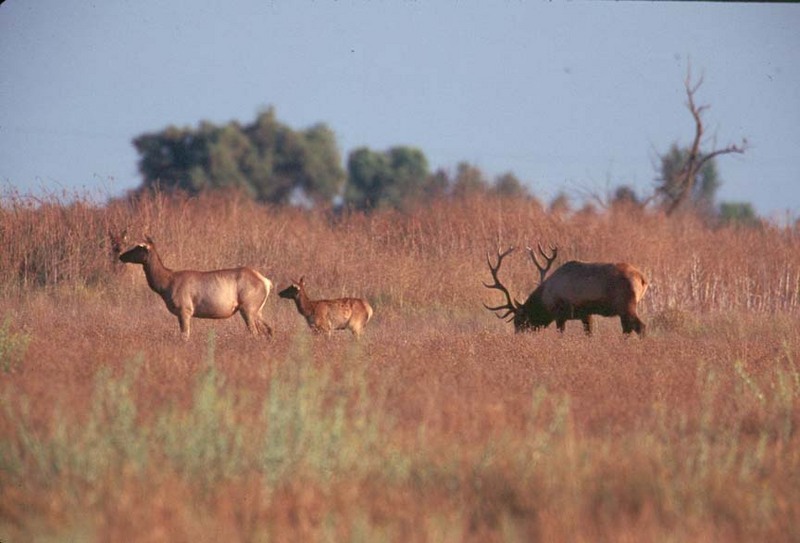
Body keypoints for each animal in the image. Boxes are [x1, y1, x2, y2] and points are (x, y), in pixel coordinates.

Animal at [119, 235, 274, 338]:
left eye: (137, 247)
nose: (121, 256)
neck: (166, 285)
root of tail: (267, 282)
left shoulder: (185, 309)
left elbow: (185, 336)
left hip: (247, 307)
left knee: (255, 333)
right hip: (257, 310)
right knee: (269, 329)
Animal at [482, 245, 648, 336]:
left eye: (519, 321)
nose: (517, 337)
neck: (545, 299)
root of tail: (643, 279)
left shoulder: (560, 315)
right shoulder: (586, 314)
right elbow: (589, 334)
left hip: (626, 305)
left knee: (640, 327)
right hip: (623, 310)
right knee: (628, 329)